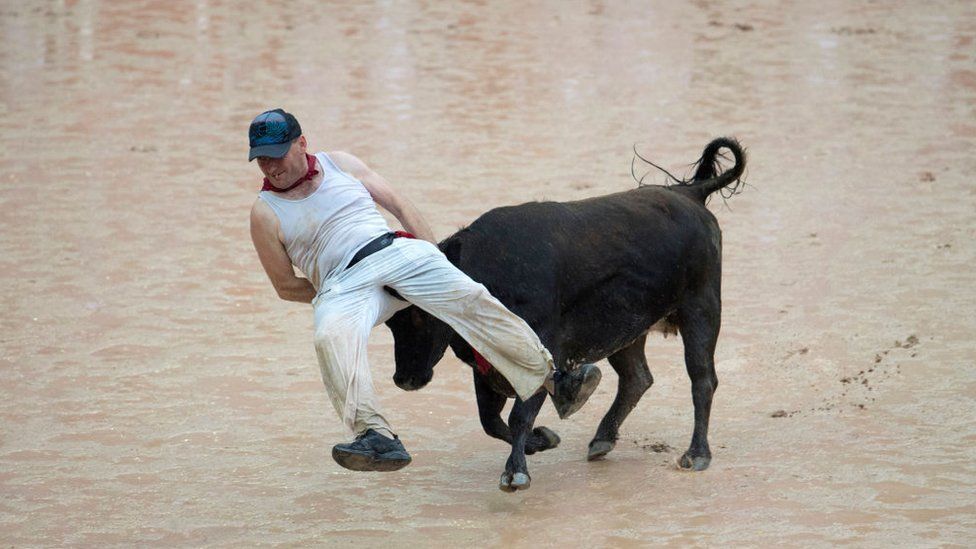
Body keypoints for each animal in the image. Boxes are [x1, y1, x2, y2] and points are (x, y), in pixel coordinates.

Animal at [386, 138, 744, 492]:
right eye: (390, 321)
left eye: (420, 314)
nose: (404, 380)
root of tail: (689, 194)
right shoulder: (486, 366)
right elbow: (491, 421)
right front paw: (542, 440)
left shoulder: (540, 352)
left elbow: (518, 415)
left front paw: (516, 472)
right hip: (626, 328)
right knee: (637, 378)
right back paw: (602, 440)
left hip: (701, 309)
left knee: (702, 379)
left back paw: (697, 454)